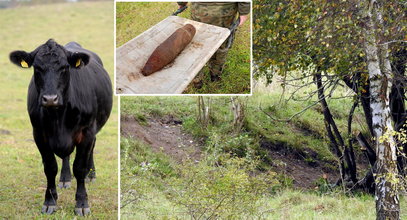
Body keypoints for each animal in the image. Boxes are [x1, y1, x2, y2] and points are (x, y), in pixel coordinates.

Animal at [9, 39, 111, 215]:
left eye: (64, 67)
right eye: (37, 68)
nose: (50, 99)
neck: (58, 117)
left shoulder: (87, 132)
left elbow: (80, 168)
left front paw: (82, 204)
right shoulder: (39, 134)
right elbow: (50, 168)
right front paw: (50, 201)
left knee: (91, 150)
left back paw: (91, 174)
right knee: (65, 157)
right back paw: (65, 178)